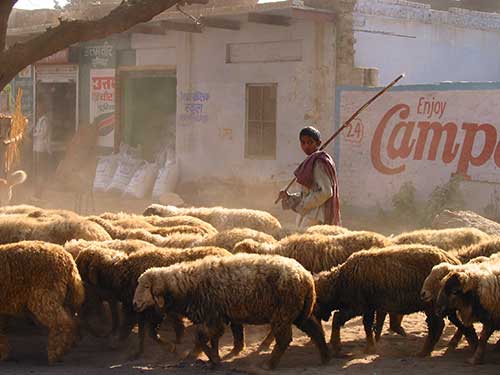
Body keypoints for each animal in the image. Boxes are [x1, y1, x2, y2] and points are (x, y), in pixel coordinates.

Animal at [133, 253, 332, 370]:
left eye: (146, 286)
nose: (135, 304)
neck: (187, 286)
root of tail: (306, 277)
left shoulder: (211, 316)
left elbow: (202, 338)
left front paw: (212, 359)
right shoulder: (219, 316)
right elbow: (214, 338)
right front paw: (207, 357)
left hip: (283, 312)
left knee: (284, 340)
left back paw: (269, 364)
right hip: (298, 312)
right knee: (316, 330)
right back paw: (325, 357)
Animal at [314, 245, 458, 356]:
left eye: (317, 301)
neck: (340, 281)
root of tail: (453, 261)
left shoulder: (357, 306)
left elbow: (337, 318)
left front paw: (336, 346)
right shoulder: (369, 307)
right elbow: (368, 325)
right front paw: (370, 347)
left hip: (431, 304)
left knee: (436, 326)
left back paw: (424, 352)